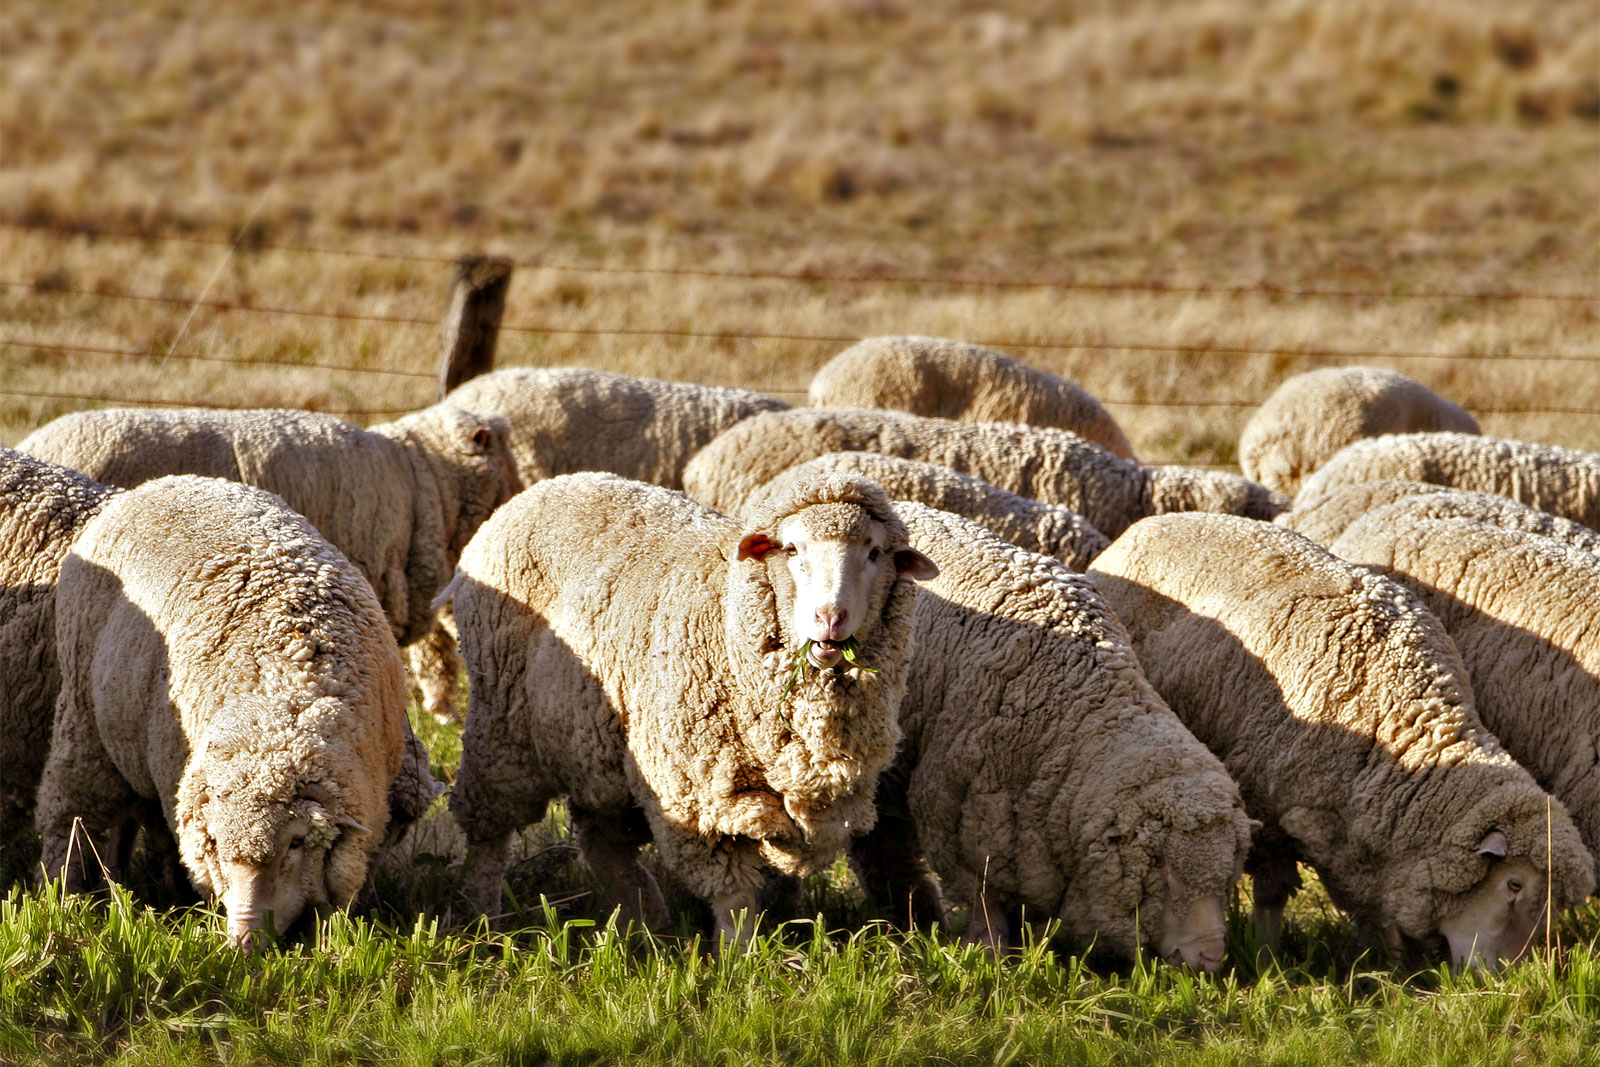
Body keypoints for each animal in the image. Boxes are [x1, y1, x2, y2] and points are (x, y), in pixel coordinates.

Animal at [34, 475, 412, 946]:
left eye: (297, 842)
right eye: (216, 843)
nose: (244, 942)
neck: (286, 697)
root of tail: (159, 482)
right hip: (82, 716)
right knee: (68, 812)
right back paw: (61, 893)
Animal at [445, 470, 938, 941]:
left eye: (874, 553)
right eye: (792, 549)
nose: (830, 619)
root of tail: (544, 487)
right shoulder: (697, 794)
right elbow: (733, 895)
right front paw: (739, 957)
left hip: (596, 744)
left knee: (602, 836)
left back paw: (643, 921)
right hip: (500, 722)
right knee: (490, 832)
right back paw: (484, 916)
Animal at [848, 503, 1254, 969]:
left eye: (1229, 872)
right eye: (1164, 870)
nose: (1211, 956)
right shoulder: (961, 820)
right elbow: (986, 900)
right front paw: (989, 953)